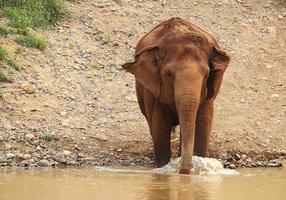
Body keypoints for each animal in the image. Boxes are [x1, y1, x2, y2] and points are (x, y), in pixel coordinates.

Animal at [122, 17, 230, 173]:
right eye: (169, 74)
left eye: (207, 74)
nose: (184, 172)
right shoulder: (154, 91)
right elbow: (159, 125)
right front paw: (162, 167)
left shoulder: (208, 94)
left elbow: (203, 123)